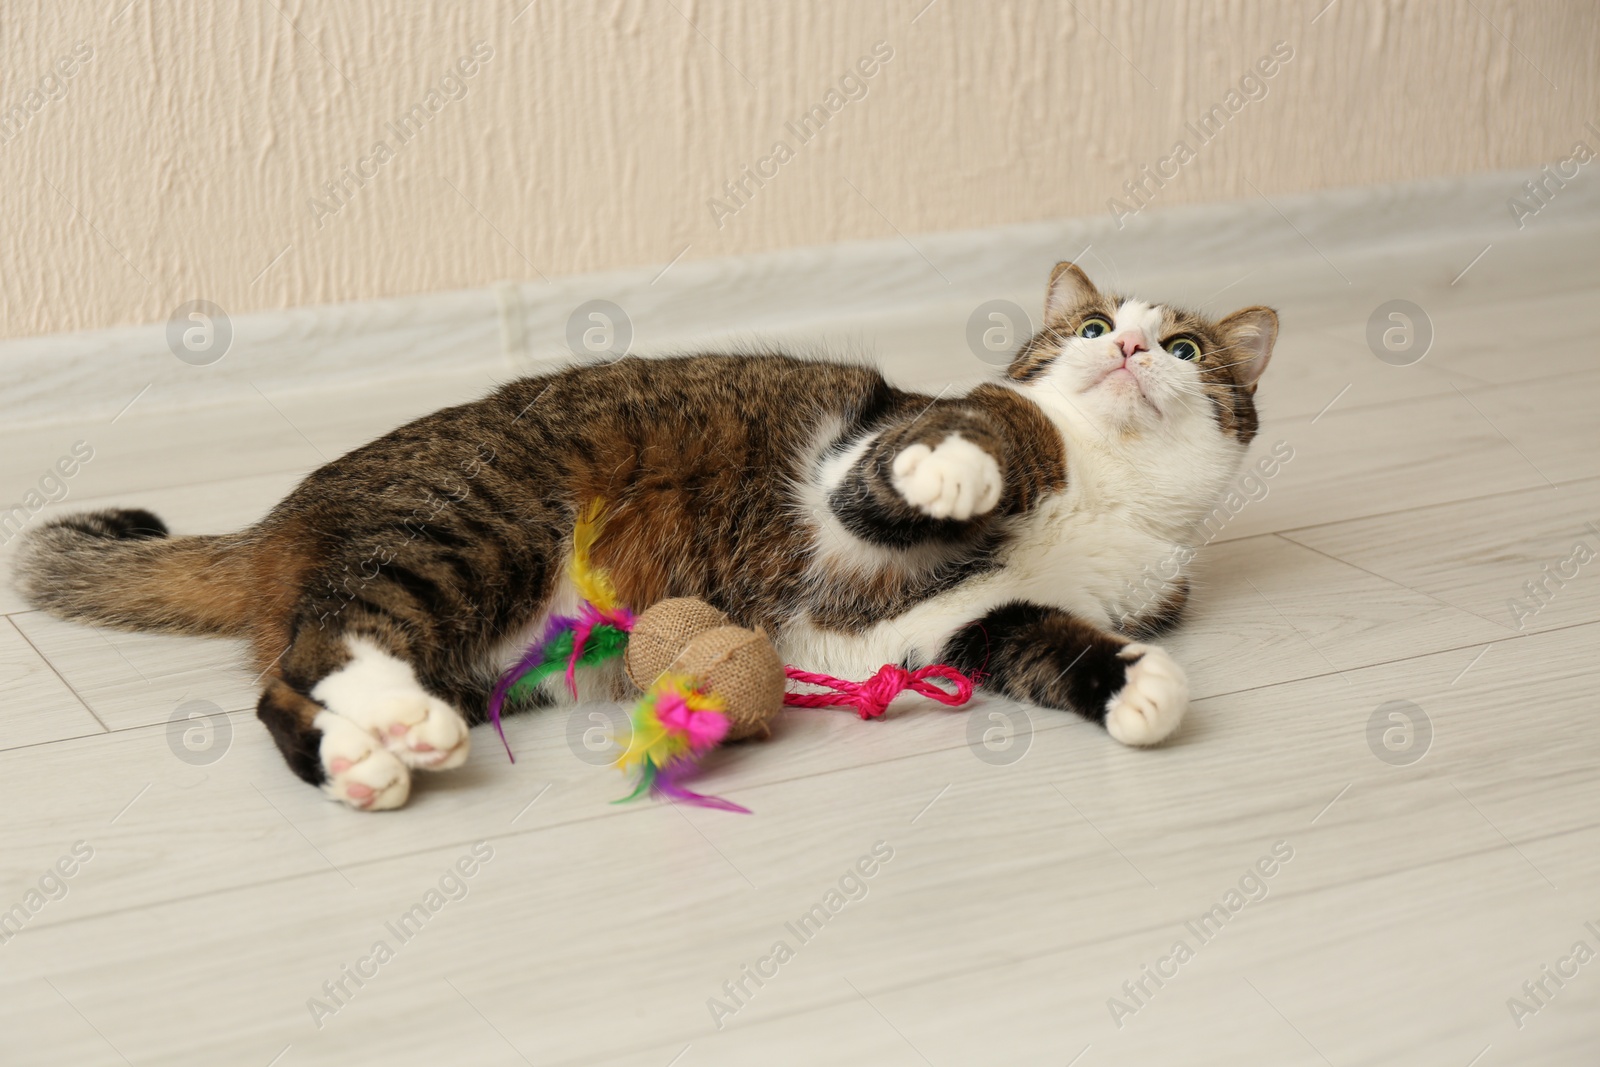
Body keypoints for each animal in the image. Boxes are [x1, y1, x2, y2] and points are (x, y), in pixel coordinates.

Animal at [12, 265, 1273, 809]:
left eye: (1185, 350)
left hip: (486, 641)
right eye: (1092, 327)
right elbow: (976, 436)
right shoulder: (852, 478)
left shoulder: (946, 627)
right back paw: (395, 729)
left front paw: (1138, 687)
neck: (1108, 487)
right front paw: (966, 462)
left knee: (285, 686)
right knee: (329, 641)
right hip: (472, 527)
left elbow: (1044, 639)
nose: (1129, 349)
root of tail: (281, 519)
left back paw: (364, 755)